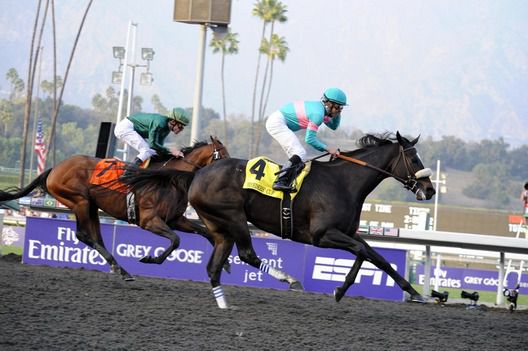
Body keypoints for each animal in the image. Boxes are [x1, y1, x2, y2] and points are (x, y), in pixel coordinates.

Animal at [0, 137, 228, 280]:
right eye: (222, 156)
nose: (227, 173)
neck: (169, 180)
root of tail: (55, 168)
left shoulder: (175, 219)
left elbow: (205, 232)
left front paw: (225, 263)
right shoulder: (149, 221)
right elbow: (176, 240)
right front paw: (150, 258)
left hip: (91, 207)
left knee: (96, 237)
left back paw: (120, 269)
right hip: (79, 201)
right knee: (83, 235)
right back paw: (119, 268)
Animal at [188, 131, 436, 308]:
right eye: (414, 159)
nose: (430, 189)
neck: (344, 182)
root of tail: (199, 175)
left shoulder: (348, 232)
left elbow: (378, 258)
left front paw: (415, 293)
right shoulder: (322, 235)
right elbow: (362, 251)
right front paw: (340, 290)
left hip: (220, 227)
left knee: (213, 268)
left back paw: (223, 304)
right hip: (235, 218)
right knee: (247, 254)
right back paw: (290, 280)